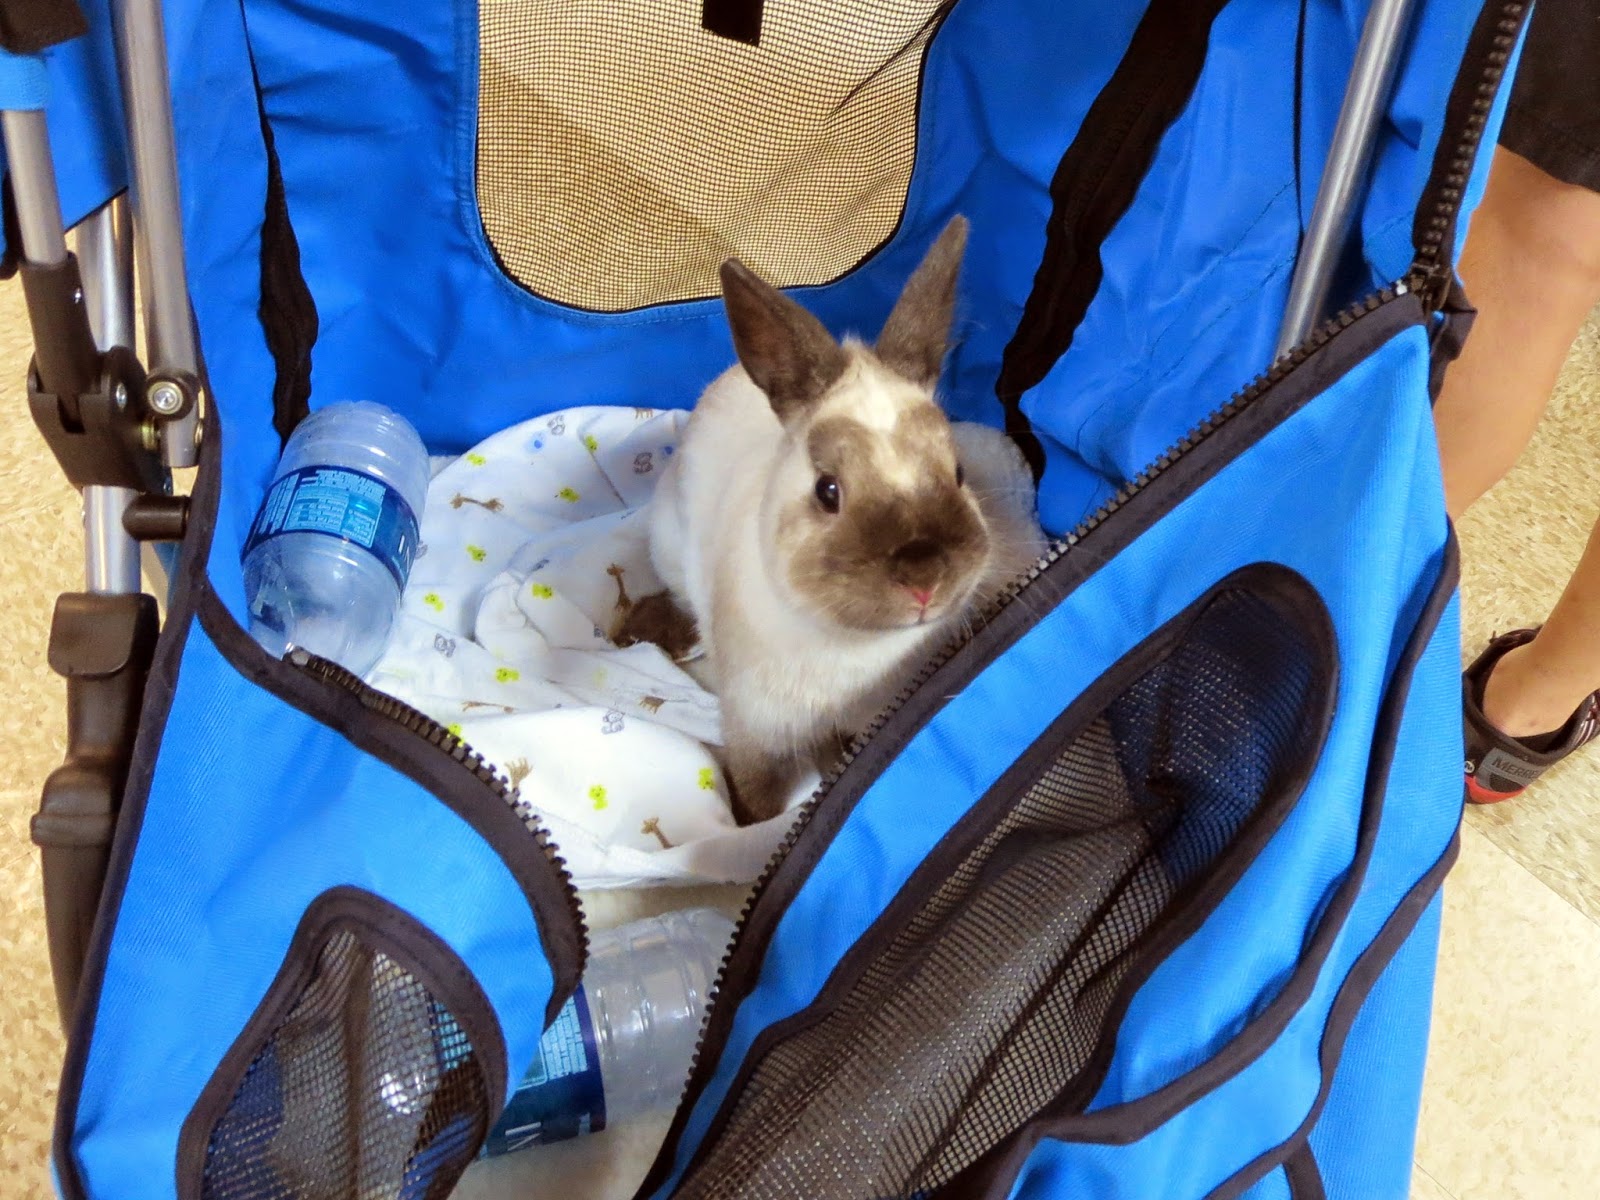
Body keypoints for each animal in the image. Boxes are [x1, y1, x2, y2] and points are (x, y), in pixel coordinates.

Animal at [619, 216, 1044, 824]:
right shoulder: (754, 730)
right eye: (828, 491)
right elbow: (755, 791)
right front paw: (750, 829)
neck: (855, 649)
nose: (925, 580)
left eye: (959, 471)